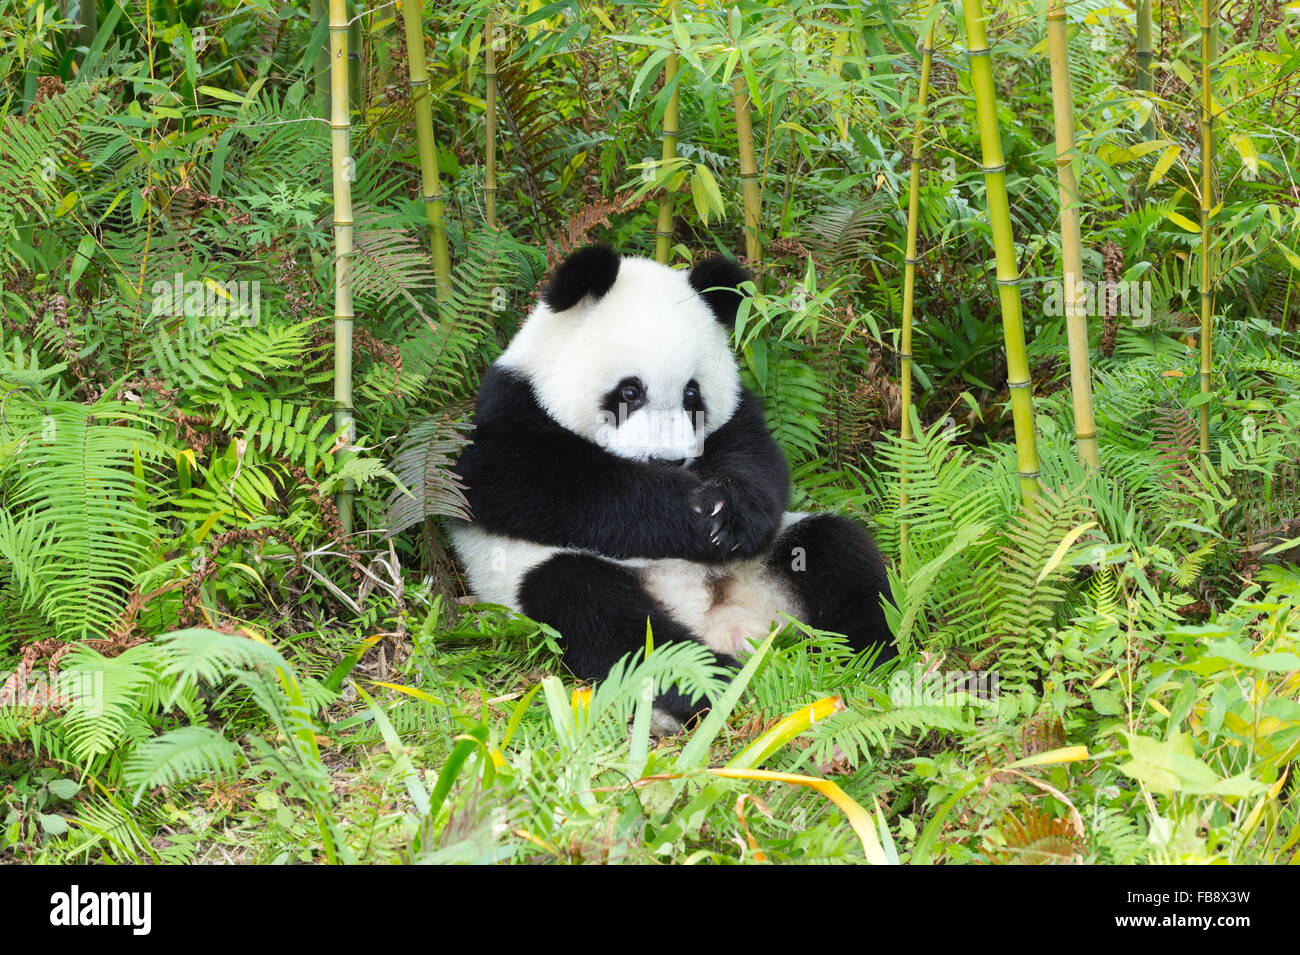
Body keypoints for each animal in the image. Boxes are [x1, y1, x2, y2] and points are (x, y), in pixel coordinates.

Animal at [449, 245, 894, 724]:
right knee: (599, 613)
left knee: (836, 548)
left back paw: (870, 654)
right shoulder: (510, 408)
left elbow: (759, 461)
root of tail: (716, 617)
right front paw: (690, 514)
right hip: (538, 578)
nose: (668, 460)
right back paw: (713, 682)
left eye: (692, 395)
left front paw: (732, 515)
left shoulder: (738, 413)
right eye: (629, 392)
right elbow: (513, 483)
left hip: (773, 556)